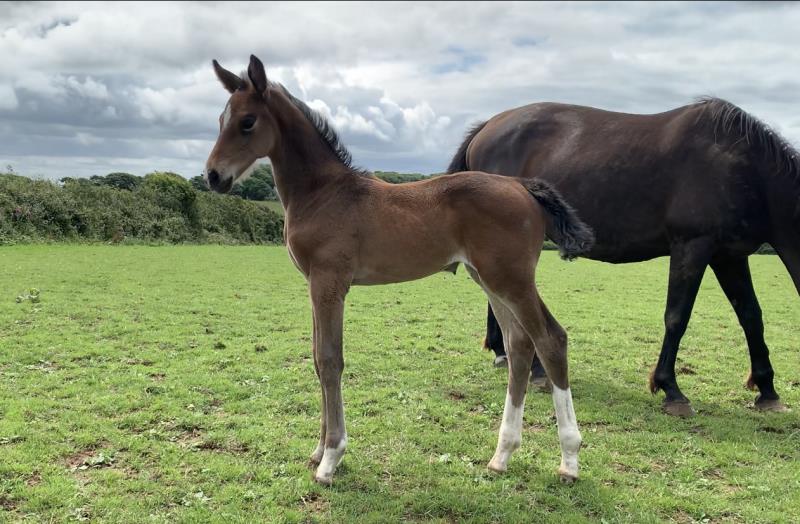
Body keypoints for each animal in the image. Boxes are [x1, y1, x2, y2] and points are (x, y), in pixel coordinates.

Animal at [206, 55, 592, 486]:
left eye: (248, 121)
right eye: (221, 119)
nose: (213, 176)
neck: (323, 193)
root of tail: (522, 186)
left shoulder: (329, 282)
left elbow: (330, 360)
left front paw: (331, 458)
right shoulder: (314, 285)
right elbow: (317, 359)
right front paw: (318, 450)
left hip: (512, 279)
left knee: (550, 340)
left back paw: (569, 460)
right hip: (490, 279)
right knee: (520, 345)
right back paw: (501, 456)